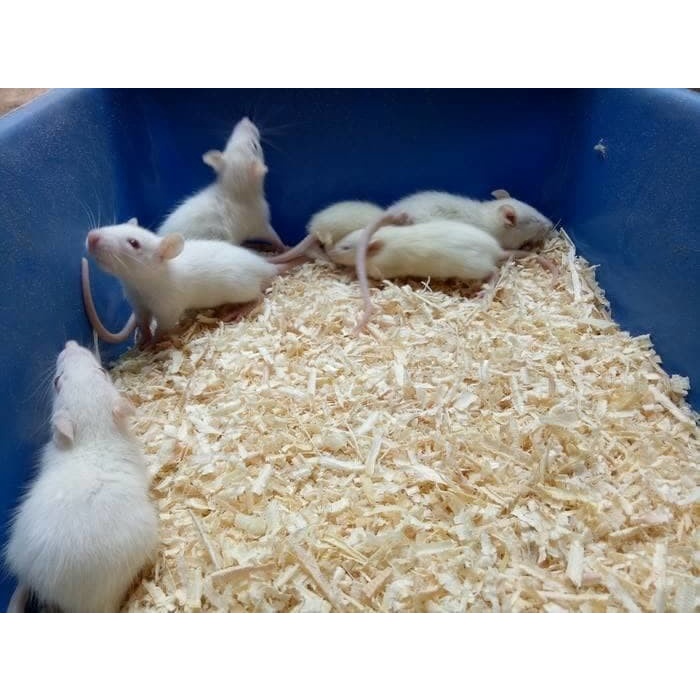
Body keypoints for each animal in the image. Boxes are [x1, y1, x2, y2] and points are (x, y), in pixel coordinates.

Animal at [82, 221, 291, 345]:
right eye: (116, 225)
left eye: (134, 243)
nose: (92, 237)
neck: (139, 283)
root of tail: (264, 265)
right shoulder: (138, 303)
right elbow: (143, 321)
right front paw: (144, 338)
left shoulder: (167, 307)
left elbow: (164, 325)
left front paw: (154, 342)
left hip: (240, 288)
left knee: (259, 296)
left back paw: (240, 310)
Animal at [158, 117, 286, 251]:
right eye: (255, 146)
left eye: (228, 144)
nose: (245, 119)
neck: (234, 184)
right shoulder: (260, 221)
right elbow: (271, 234)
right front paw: (282, 246)